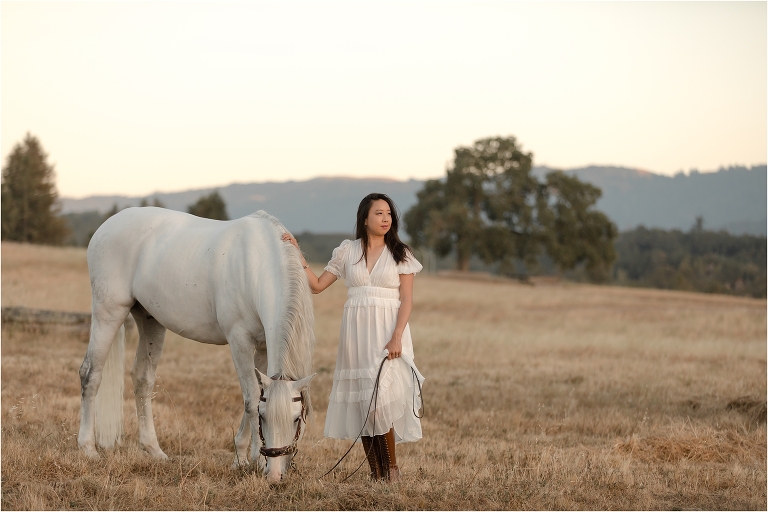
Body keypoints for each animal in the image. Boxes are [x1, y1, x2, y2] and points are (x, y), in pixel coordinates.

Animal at [77, 208, 315, 481]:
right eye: (264, 418)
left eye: (297, 419)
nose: (275, 474)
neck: (257, 265)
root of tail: (108, 225)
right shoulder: (239, 340)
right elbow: (252, 399)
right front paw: (253, 459)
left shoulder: (263, 346)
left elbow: (254, 394)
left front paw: (240, 458)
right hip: (109, 312)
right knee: (90, 374)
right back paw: (88, 448)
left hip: (150, 321)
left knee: (143, 379)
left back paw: (154, 450)